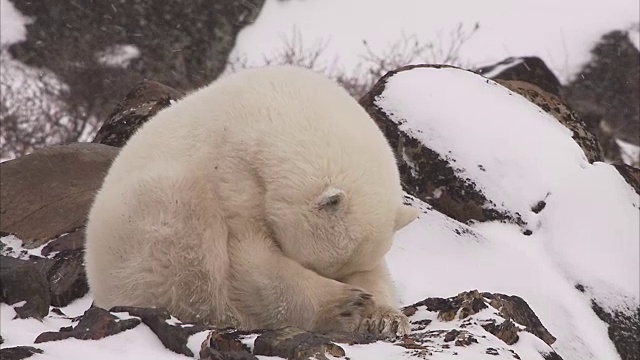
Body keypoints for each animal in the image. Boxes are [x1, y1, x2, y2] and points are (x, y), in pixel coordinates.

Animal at [82, 65, 418, 338]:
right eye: (318, 265)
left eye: (349, 267)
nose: (346, 288)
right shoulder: (232, 173)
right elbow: (251, 262)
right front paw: (346, 304)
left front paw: (385, 317)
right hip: (146, 236)